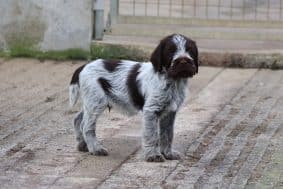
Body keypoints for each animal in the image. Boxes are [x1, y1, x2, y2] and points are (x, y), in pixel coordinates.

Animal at [69, 33, 199, 162]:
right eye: (171, 51)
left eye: (190, 50)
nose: (183, 61)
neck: (173, 81)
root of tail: (84, 66)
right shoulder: (151, 110)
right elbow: (152, 135)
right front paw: (153, 155)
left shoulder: (170, 112)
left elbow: (168, 134)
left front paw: (168, 153)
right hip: (96, 101)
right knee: (86, 126)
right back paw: (96, 149)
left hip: (91, 102)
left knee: (77, 119)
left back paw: (83, 145)